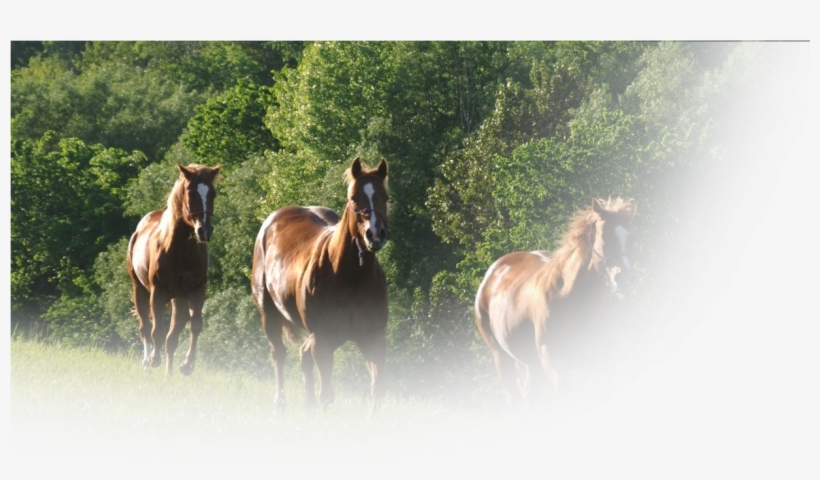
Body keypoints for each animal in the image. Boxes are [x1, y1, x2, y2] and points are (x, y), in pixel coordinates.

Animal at [126, 163, 221, 376]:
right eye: (190, 192)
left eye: (212, 193)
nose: (204, 231)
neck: (179, 251)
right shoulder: (158, 292)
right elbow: (157, 330)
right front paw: (154, 358)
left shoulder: (196, 291)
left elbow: (195, 325)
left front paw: (187, 364)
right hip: (139, 289)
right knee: (145, 327)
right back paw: (147, 361)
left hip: (179, 299)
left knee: (172, 337)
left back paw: (168, 374)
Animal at [251, 157, 389, 415]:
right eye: (354, 197)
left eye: (384, 197)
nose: (374, 234)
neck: (350, 276)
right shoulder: (323, 339)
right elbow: (327, 395)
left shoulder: (373, 338)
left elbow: (378, 388)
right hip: (269, 314)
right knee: (279, 355)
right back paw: (280, 403)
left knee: (304, 355)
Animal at [475, 197, 636, 407]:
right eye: (605, 236)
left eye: (630, 238)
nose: (624, 279)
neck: (571, 298)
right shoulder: (553, 362)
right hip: (502, 358)